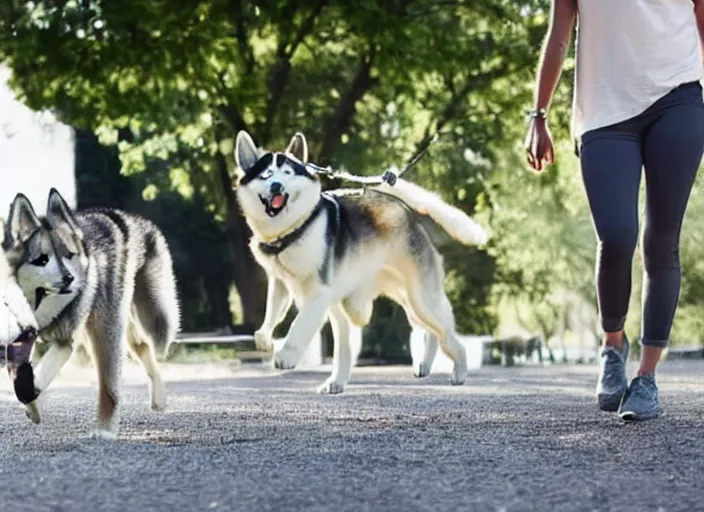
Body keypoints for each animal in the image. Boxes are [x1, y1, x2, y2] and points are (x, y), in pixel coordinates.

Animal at [3, 190, 179, 438]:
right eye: (42, 259)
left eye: (69, 255)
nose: (70, 278)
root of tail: (121, 216)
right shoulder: (23, 340)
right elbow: (24, 378)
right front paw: (32, 408)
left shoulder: (65, 340)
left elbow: (36, 379)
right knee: (143, 346)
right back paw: (157, 400)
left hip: (106, 325)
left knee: (110, 384)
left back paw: (105, 428)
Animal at [234, 130, 486, 394]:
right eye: (266, 175)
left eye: (287, 173)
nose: (276, 186)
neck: (294, 229)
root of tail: (408, 213)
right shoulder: (281, 282)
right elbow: (273, 310)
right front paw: (264, 336)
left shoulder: (318, 294)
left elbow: (299, 325)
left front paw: (287, 355)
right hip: (395, 301)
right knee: (422, 332)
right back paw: (342, 381)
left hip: (421, 299)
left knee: (446, 332)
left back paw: (460, 369)